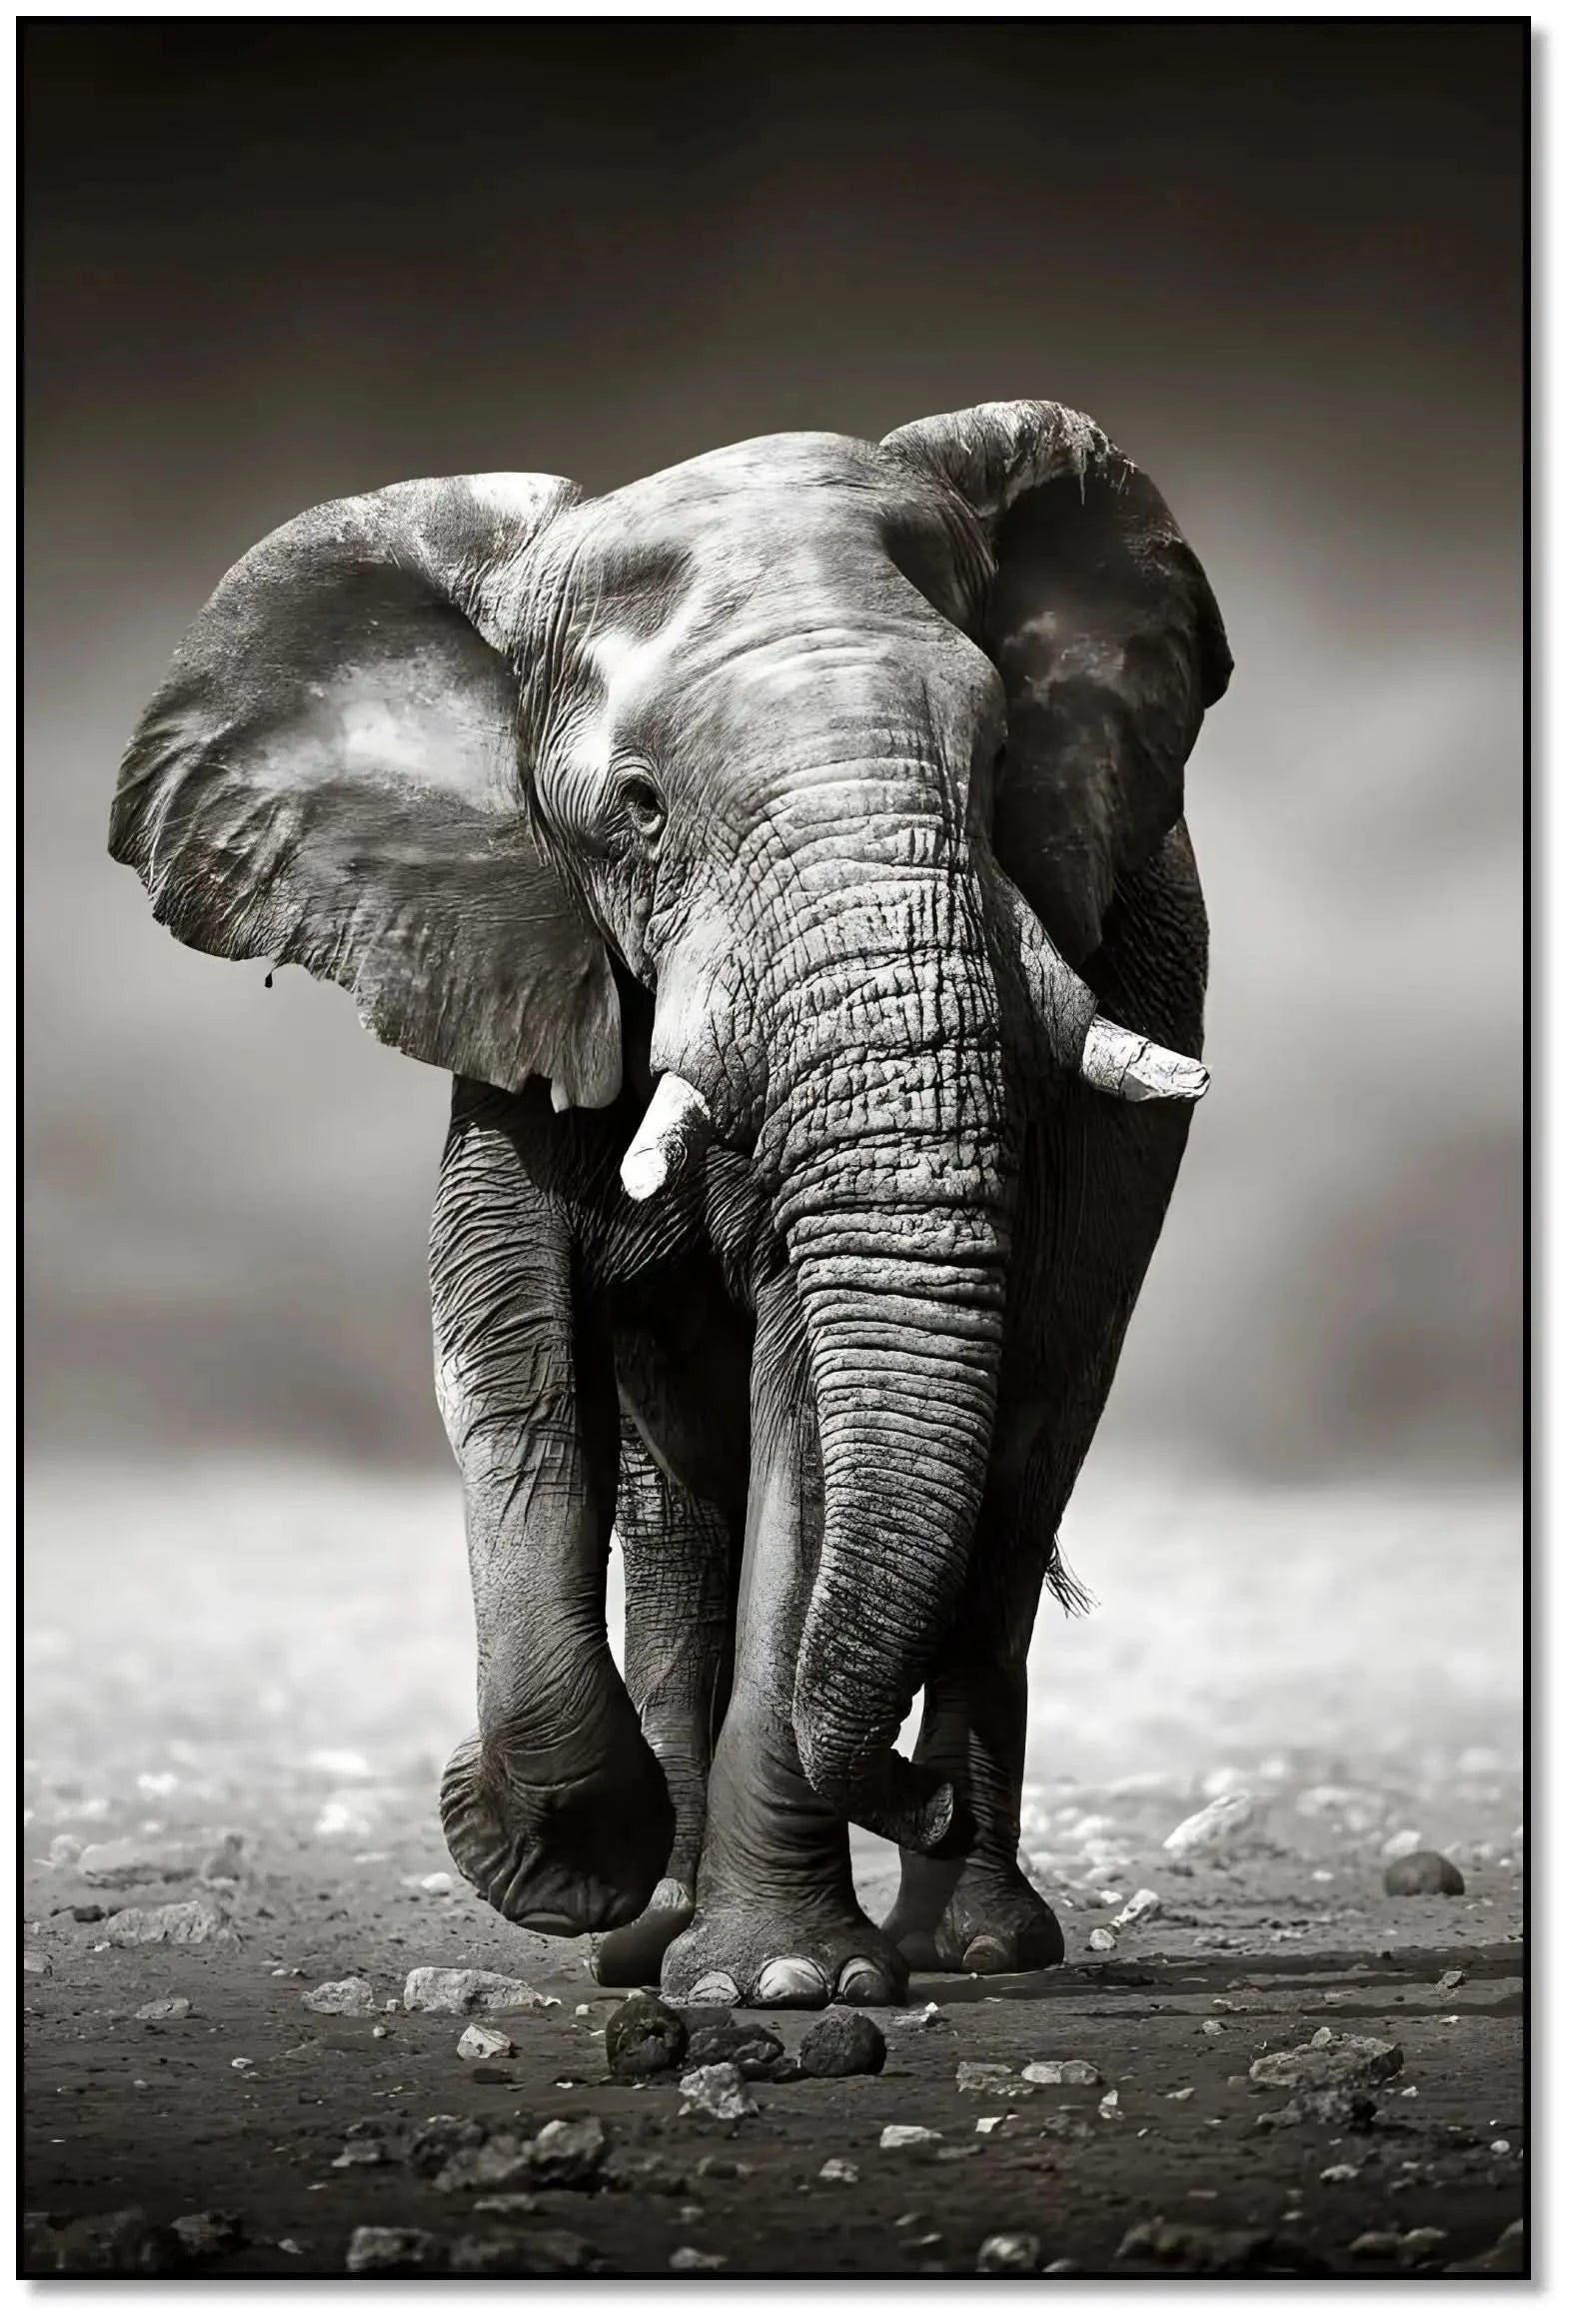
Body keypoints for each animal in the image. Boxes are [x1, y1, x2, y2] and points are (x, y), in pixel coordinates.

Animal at [108, 398, 1230, 2008]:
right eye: (636, 811)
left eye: (1005, 753)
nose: (910, 1797)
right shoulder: (513, 955)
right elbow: (506, 1352)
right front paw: (561, 1862)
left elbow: (806, 1404)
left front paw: (787, 1983)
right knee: (680, 1517)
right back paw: (658, 1933)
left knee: (1017, 1472)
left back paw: (970, 1943)